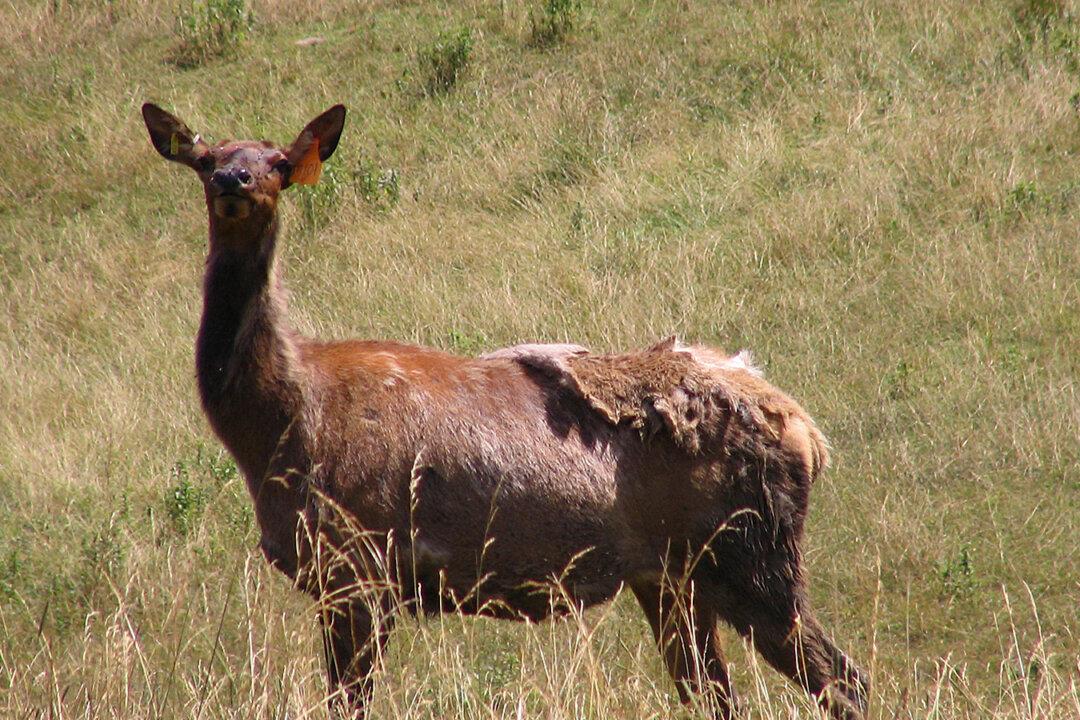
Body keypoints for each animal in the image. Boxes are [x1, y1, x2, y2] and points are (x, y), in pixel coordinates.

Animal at [141, 102, 869, 720]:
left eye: (278, 162)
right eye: (207, 158)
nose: (234, 180)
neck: (277, 428)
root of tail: (808, 432)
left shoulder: (360, 565)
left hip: (751, 550)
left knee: (843, 679)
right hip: (672, 575)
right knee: (722, 693)